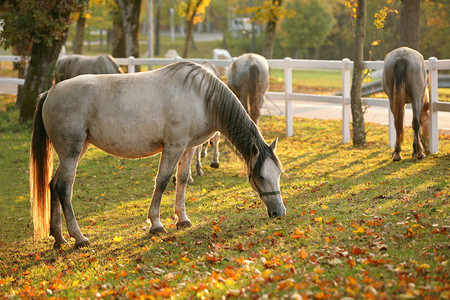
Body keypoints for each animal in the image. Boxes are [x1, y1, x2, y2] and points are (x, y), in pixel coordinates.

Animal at [29, 60, 284, 248]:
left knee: (53, 185)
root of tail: (50, 92)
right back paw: (79, 237)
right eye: (260, 176)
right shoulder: (173, 147)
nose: (279, 212)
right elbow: (162, 182)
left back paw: (59, 238)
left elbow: (182, 180)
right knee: (64, 188)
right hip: (71, 152)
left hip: (77, 151)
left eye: (279, 174)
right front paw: (156, 224)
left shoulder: (189, 148)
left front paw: (182, 219)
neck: (200, 96)